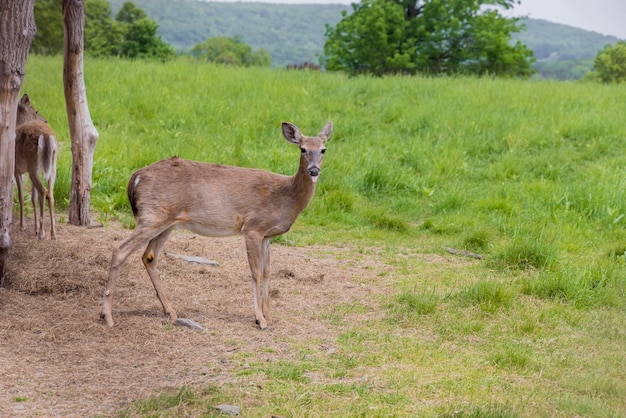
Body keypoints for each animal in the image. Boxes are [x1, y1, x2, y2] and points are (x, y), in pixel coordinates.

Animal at [14, 93, 58, 240]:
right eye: (36, 111)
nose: (46, 121)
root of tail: (46, 136)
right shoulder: (26, 170)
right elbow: (32, 198)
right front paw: (35, 228)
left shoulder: (16, 169)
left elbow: (21, 196)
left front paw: (23, 226)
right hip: (51, 165)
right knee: (50, 193)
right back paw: (53, 234)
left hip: (33, 165)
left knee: (43, 191)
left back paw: (44, 233)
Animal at [100, 119, 332, 328]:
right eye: (302, 149)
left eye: (323, 149)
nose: (314, 170)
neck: (286, 197)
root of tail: (134, 177)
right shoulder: (252, 228)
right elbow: (255, 272)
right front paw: (260, 319)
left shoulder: (267, 236)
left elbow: (267, 272)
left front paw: (270, 316)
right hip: (152, 216)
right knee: (120, 250)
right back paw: (107, 316)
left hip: (166, 222)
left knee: (148, 256)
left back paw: (170, 311)